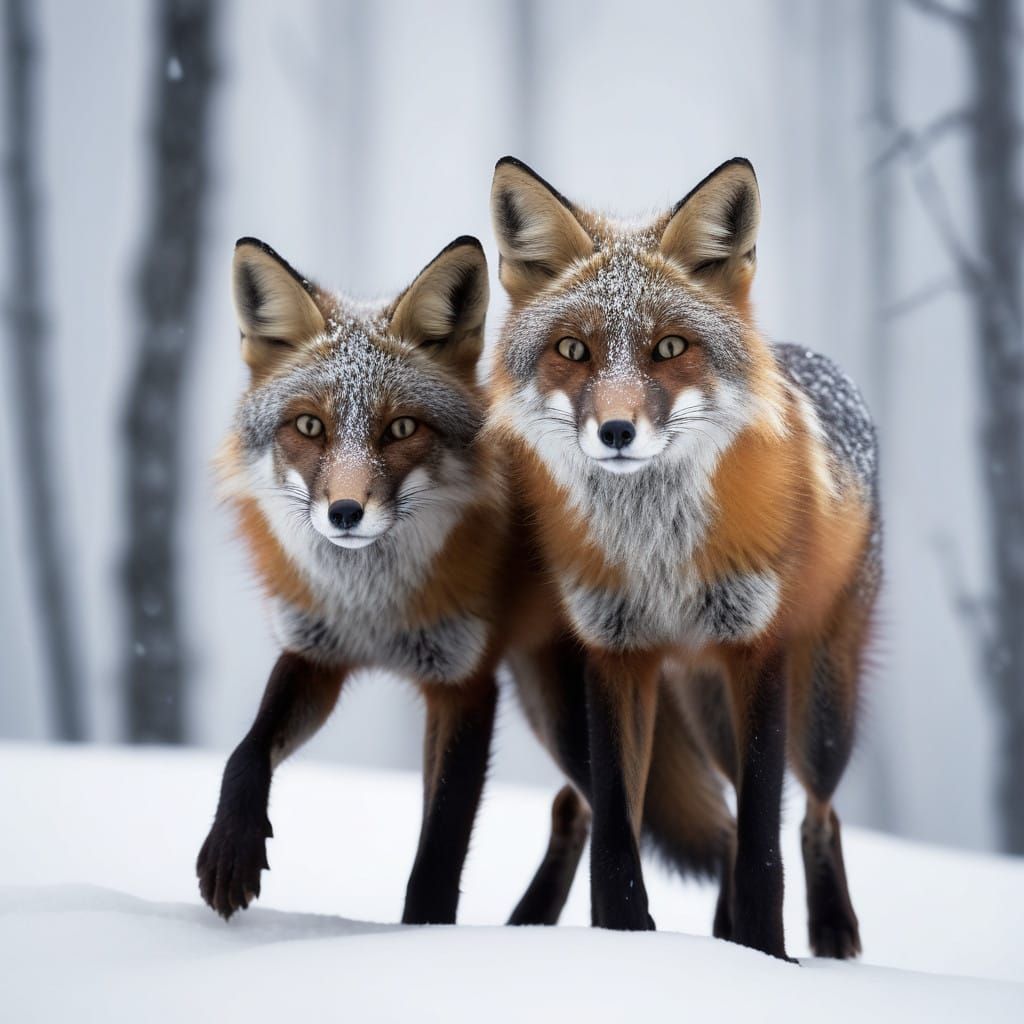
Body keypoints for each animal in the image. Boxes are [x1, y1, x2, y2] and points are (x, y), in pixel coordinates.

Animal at [197, 234, 594, 926]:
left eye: (402, 428)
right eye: (309, 426)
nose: (345, 513)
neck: (374, 609)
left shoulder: (464, 681)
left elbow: (439, 851)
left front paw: (417, 940)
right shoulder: (318, 652)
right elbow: (247, 751)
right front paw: (231, 849)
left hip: (568, 720)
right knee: (575, 809)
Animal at [486, 155, 880, 960]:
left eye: (669, 348)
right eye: (572, 350)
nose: (615, 432)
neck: (657, 551)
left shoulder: (757, 651)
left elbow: (763, 846)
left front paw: (765, 957)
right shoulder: (614, 652)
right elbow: (617, 834)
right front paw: (628, 941)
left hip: (817, 712)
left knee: (813, 813)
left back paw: (830, 932)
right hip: (608, 710)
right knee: (584, 808)